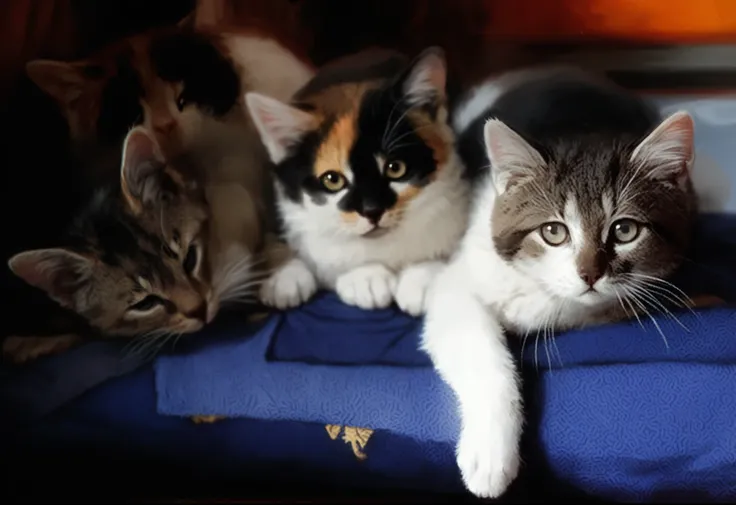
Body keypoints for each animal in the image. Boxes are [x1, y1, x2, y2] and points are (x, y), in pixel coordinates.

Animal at [422, 66, 700, 496]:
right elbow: (472, 340)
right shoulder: (464, 275)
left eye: (625, 230)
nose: (589, 273)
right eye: (553, 232)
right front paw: (490, 455)